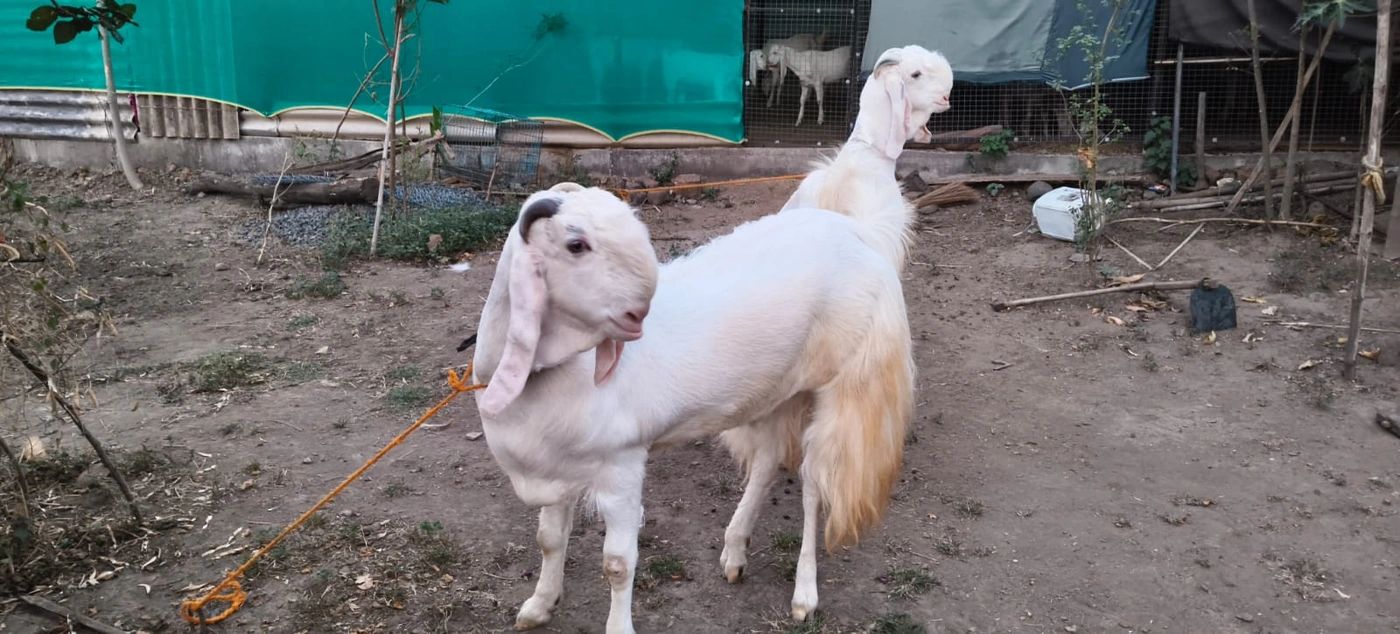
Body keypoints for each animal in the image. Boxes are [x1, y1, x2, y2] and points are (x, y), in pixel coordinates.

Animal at [470, 46, 945, 634]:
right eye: (576, 244)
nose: (640, 314)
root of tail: (856, 233)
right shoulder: (555, 473)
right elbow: (548, 539)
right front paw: (539, 603)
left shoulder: (622, 469)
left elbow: (617, 564)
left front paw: (615, 622)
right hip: (776, 384)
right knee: (767, 463)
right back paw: (735, 549)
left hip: (838, 386)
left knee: (815, 487)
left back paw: (804, 592)